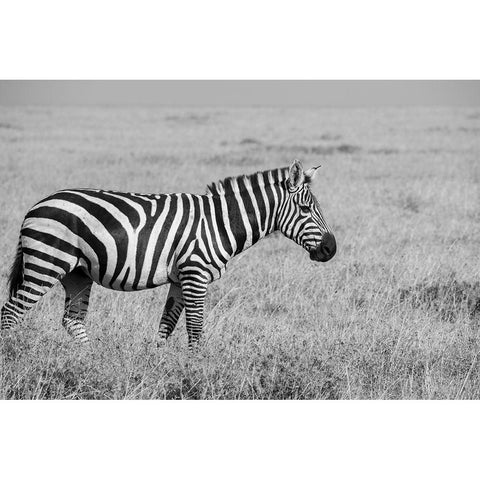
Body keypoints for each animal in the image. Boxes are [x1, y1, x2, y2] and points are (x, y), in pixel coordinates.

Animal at [0, 160, 338, 348]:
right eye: (305, 209)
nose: (331, 249)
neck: (220, 222)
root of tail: (37, 204)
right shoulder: (195, 274)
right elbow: (195, 327)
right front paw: (197, 370)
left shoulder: (180, 278)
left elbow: (167, 325)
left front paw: (160, 365)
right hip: (47, 263)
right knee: (10, 313)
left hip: (77, 273)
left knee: (72, 321)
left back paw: (93, 362)